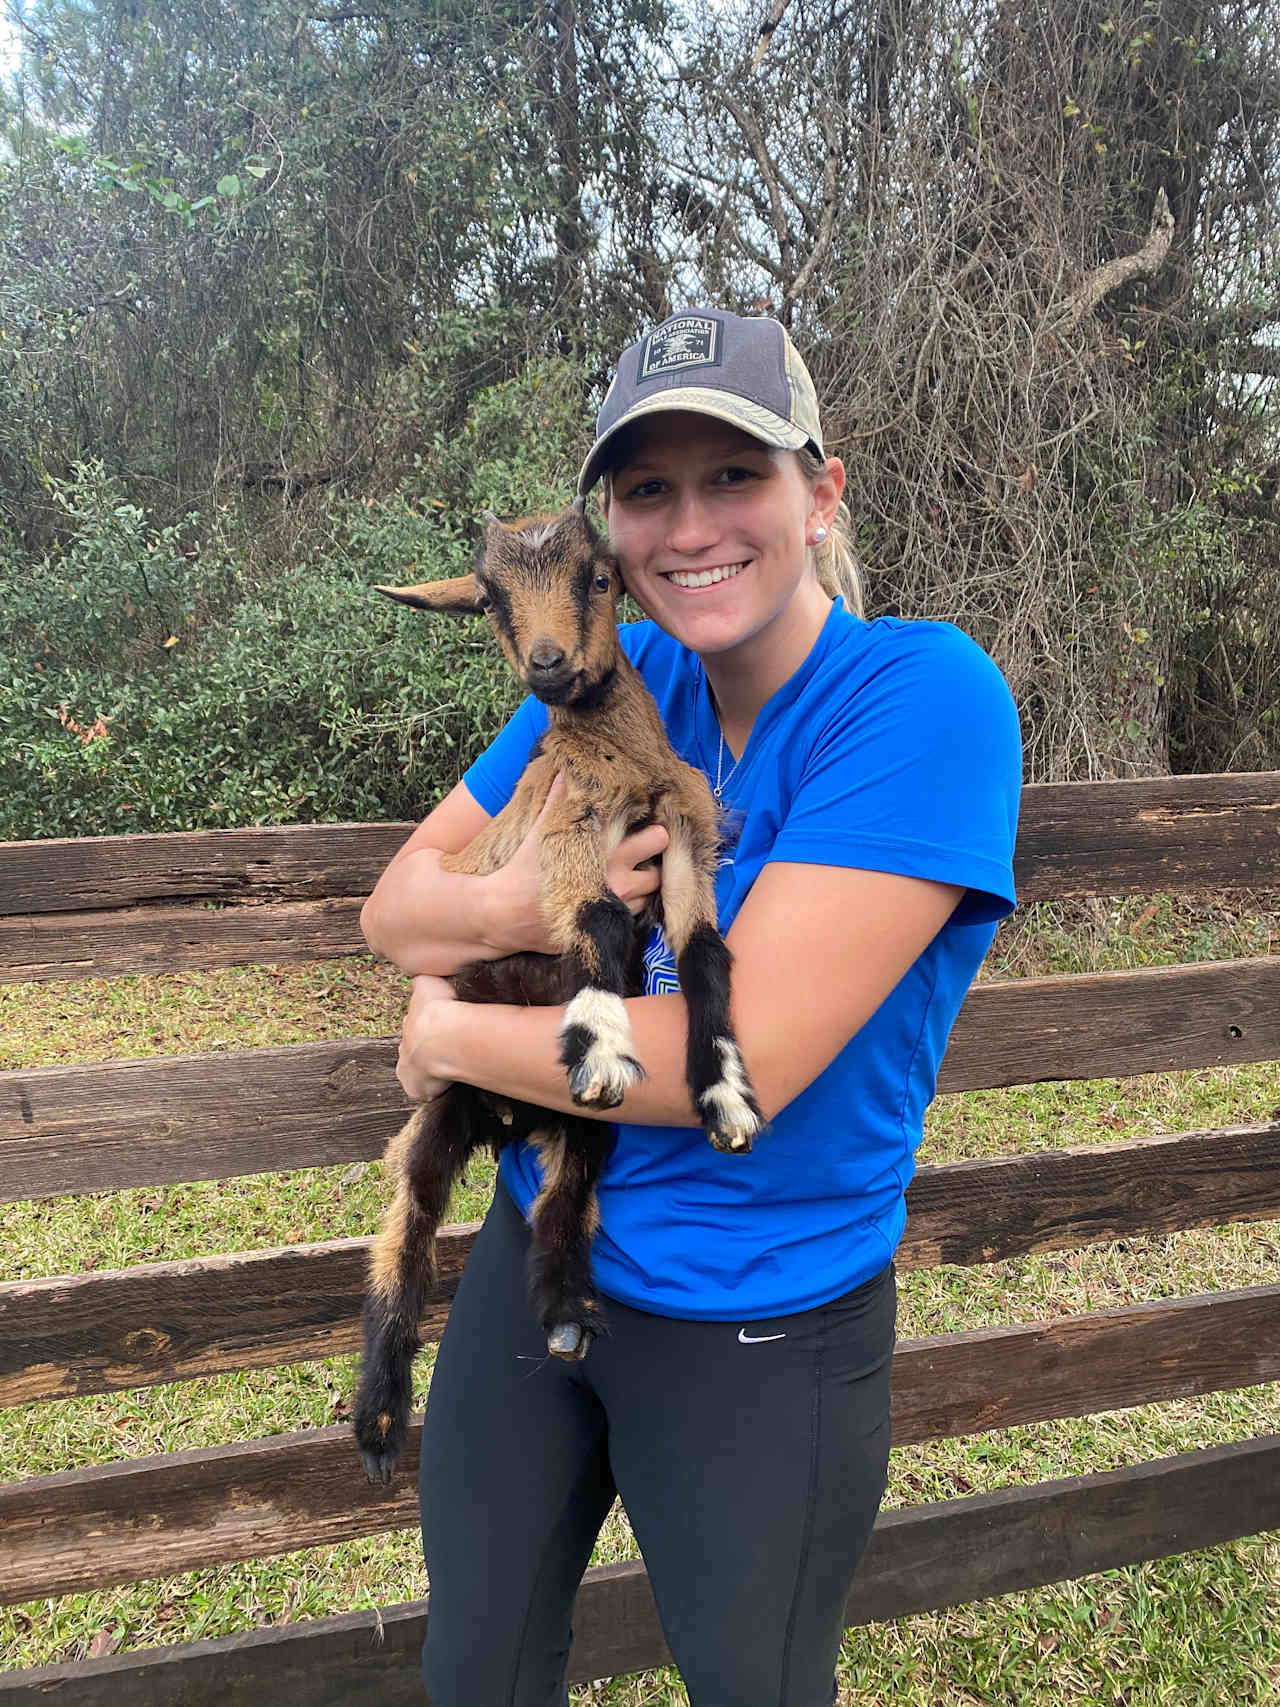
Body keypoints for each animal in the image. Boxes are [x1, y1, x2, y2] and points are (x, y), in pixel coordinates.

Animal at [353, 498, 761, 1481]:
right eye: (491, 599)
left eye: (600, 577)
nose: (546, 662)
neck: (623, 759)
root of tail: (509, 1119)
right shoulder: (570, 829)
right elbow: (601, 923)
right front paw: (604, 1040)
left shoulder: (682, 840)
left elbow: (703, 953)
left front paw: (724, 1092)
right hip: (442, 1111)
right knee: (408, 1225)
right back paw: (380, 1418)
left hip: (575, 1134)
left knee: (565, 1193)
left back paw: (569, 1316)